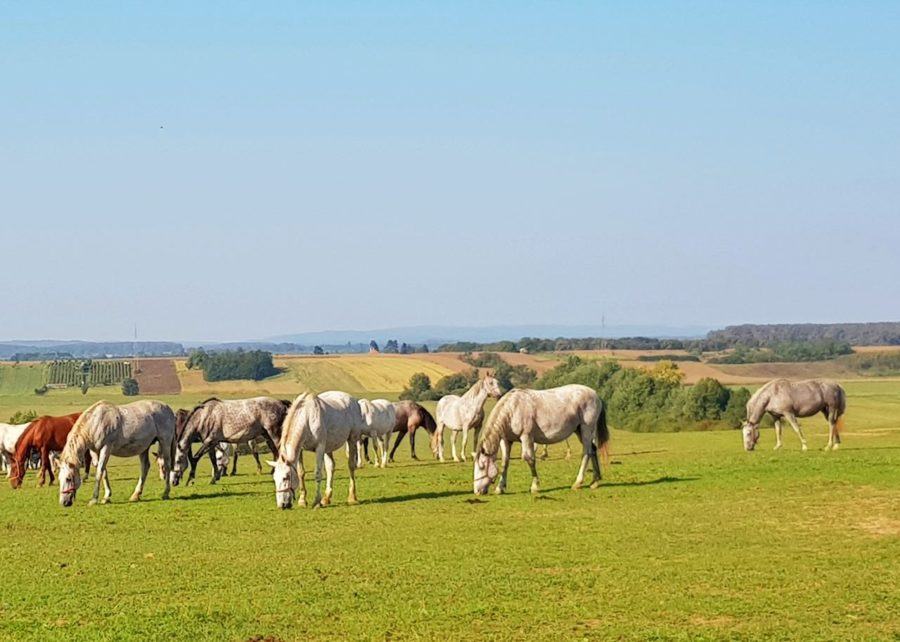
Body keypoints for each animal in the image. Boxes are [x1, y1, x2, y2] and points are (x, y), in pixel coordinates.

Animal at [472, 384, 612, 496]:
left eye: (482, 466)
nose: (477, 491)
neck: (513, 409)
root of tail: (595, 394)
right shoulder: (507, 441)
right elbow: (505, 463)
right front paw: (500, 488)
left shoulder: (526, 437)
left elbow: (529, 459)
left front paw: (535, 486)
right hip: (579, 430)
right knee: (593, 450)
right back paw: (595, 481)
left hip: (586, 429)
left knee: (587, 453)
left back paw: (578, 482)